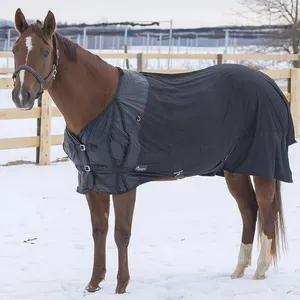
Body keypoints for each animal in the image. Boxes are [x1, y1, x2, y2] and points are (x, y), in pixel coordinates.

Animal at [10, 8, 296, 294]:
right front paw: (94, 283)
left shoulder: (123, 182)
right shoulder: (93, 180)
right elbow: (99, 231)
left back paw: (260, 271)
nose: (21, 97)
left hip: (262, 168)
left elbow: (121, 233)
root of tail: (269, 83)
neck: (102, 104)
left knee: (266, 212)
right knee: (249, 211)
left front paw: (121, 285)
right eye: (14, 49)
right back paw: (238, 269)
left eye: (45, 52)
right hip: (235, 169)